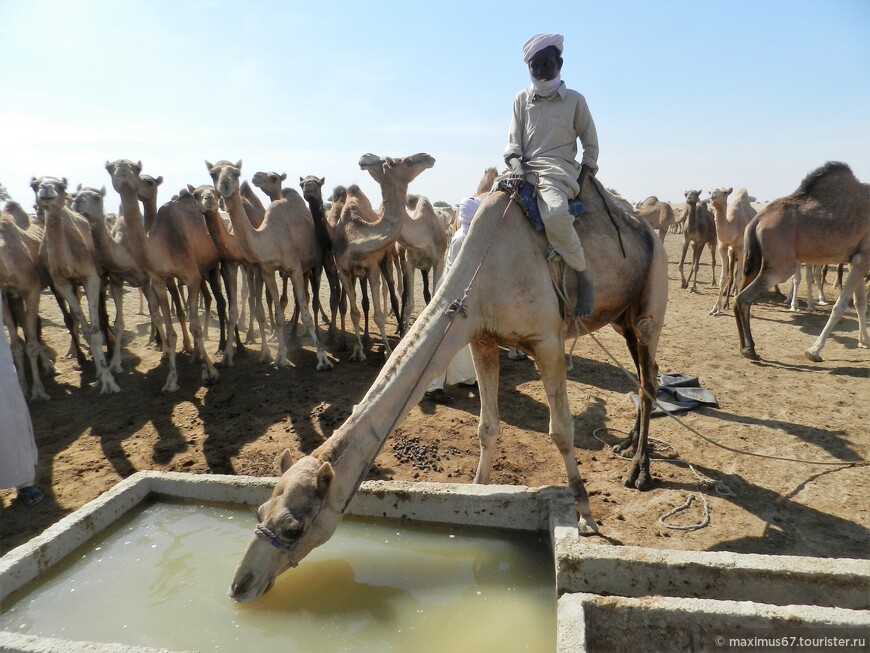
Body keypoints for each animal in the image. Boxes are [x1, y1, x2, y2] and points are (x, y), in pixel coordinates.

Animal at [30, 173, 121, 394]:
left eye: (61, 186)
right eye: (34, 185)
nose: (46, 189)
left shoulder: (91, 277)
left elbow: (95, 331)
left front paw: (108, 381)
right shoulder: (61, 284)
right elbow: (83, 327)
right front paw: (98, 373)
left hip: (102, 279)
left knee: (103, 316)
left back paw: (110, 350)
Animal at [106, 158, 221, 392]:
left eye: (137, 170)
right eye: (110, 168)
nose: (123, 172)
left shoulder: (190, 276)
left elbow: (195, 326)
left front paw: (211, 372)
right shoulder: (158, 280)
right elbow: (169, 329)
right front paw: (171, 380)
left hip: (214, 266)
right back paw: (195, 355)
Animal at [230, 160, 668, 600]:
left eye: (294, 528)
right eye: (260, 509)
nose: (241, 584)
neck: (483, 273)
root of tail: (645, 228)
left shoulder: (547, 340)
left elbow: (561, 430)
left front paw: (587, 516)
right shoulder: (480, 337)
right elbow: (487, 427)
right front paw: (477, 493)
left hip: (650, 297)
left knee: (649, 377)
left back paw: (638, 472)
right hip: (620, 317)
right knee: (643, 373)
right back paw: (627, 446)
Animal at [708, 186, 756, 316]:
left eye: (725, 192)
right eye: (710, 191)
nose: (712, 195)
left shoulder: (740, 248)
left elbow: (739, 277)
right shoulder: (723, 248)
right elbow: (723, 279)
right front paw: (716, 309)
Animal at [736, 159, 870, 362]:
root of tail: (757, 219)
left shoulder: (857, 260)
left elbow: (859, 302)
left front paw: (865, 342)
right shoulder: (863, 259)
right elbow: (840, 305)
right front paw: (814, 351)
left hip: (754, 260)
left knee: (739, 293)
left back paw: (743, 348)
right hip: (781, 265)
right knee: (743, 297)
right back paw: (751, 350)